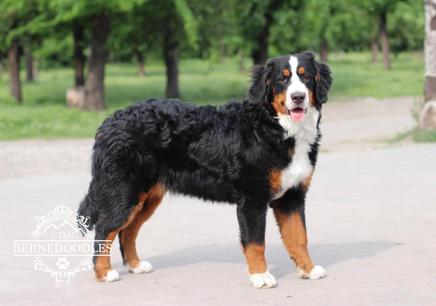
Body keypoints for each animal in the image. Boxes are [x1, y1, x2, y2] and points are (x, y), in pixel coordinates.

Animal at [78, 51, 330, 288]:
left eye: (306, 76)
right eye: (282, 79)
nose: (298, 97)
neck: (275, 128)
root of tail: (110, 121)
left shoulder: (292, 196)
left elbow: (299, 237)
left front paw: (308, 269)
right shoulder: (253, 198)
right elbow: (256, 242)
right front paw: (260, 276)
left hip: (146, 198)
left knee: (127, 231)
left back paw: (136, 265)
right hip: (123, 193)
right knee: (104, 230)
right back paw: (104, 273)